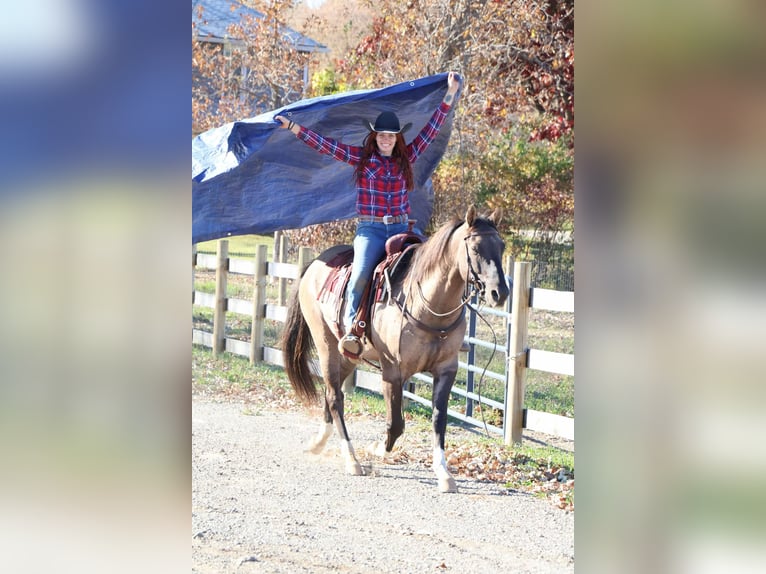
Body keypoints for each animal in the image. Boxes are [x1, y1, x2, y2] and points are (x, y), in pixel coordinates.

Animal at [282, 207, 510, 496]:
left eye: (501, 247)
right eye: (477, 248)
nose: (499, 292)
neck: (428, 303)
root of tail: (314, 264)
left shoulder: (446, 370)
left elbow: (439, 420)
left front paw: (444, 474)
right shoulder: (393, 371)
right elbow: (396, 424)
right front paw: (377, 448)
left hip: (347, 357)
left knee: (329, 395)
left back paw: (318, 443)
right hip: (326, 345)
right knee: (335, 398)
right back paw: (352, 460)